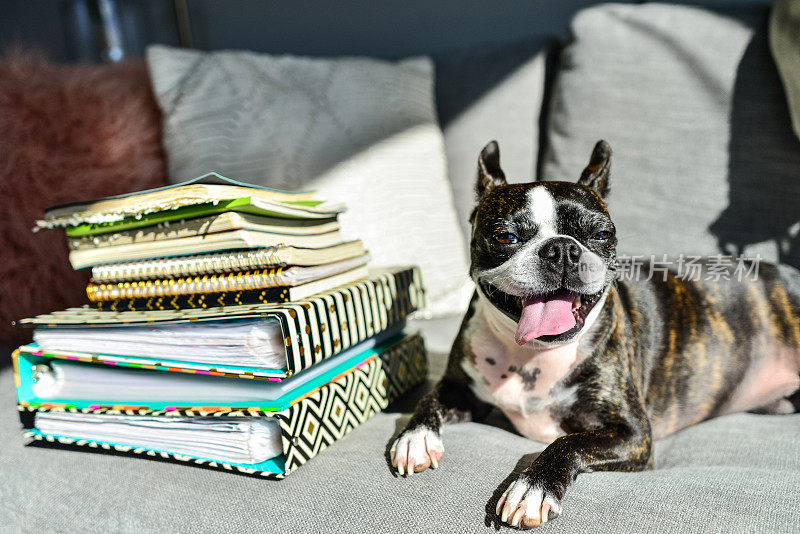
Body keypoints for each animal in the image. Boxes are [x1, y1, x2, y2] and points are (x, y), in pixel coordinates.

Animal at [390, 142, 800, 532]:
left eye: (602, 234)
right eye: (506, 236)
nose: (561, 248)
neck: (536, 355)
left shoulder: (634, 434)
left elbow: (568, 442)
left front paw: (532, 487)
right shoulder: (462, 389)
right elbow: (428, 398)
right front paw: (415, 438)